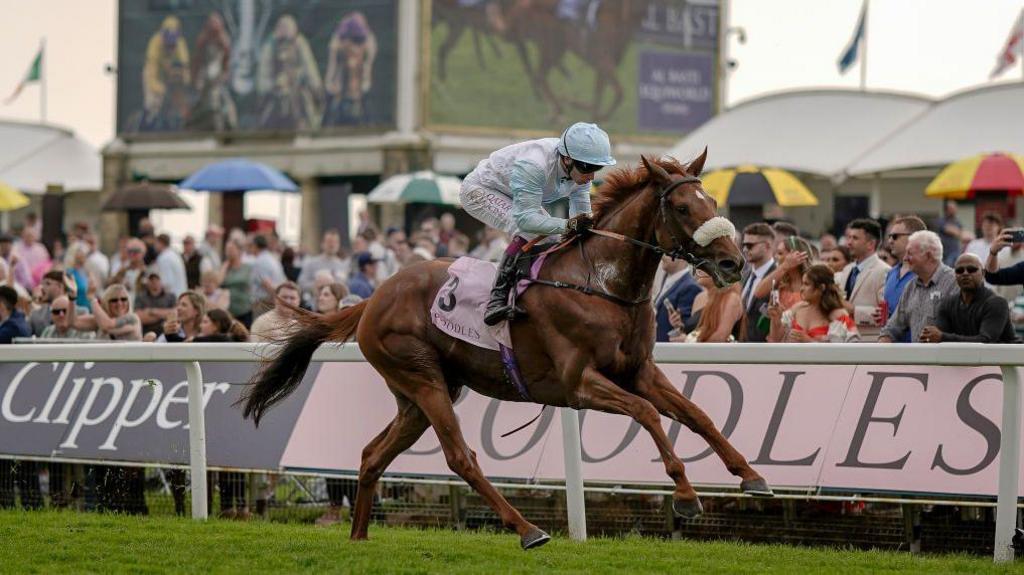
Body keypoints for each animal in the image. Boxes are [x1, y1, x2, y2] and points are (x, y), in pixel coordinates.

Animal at [241, 151, 770, 544]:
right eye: (682, 208)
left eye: (712, 198)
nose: (733, 263)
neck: (601, 284)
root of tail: (373, 298)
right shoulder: (580, 384)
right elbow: (648, 414)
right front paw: (686, 494)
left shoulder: (637, 370)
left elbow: (697, 415)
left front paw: (750, 475)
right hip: (423, 379)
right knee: (460, 458)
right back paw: (528, 529)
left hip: (417, 395)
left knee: (374, 455)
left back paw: (359, 537)